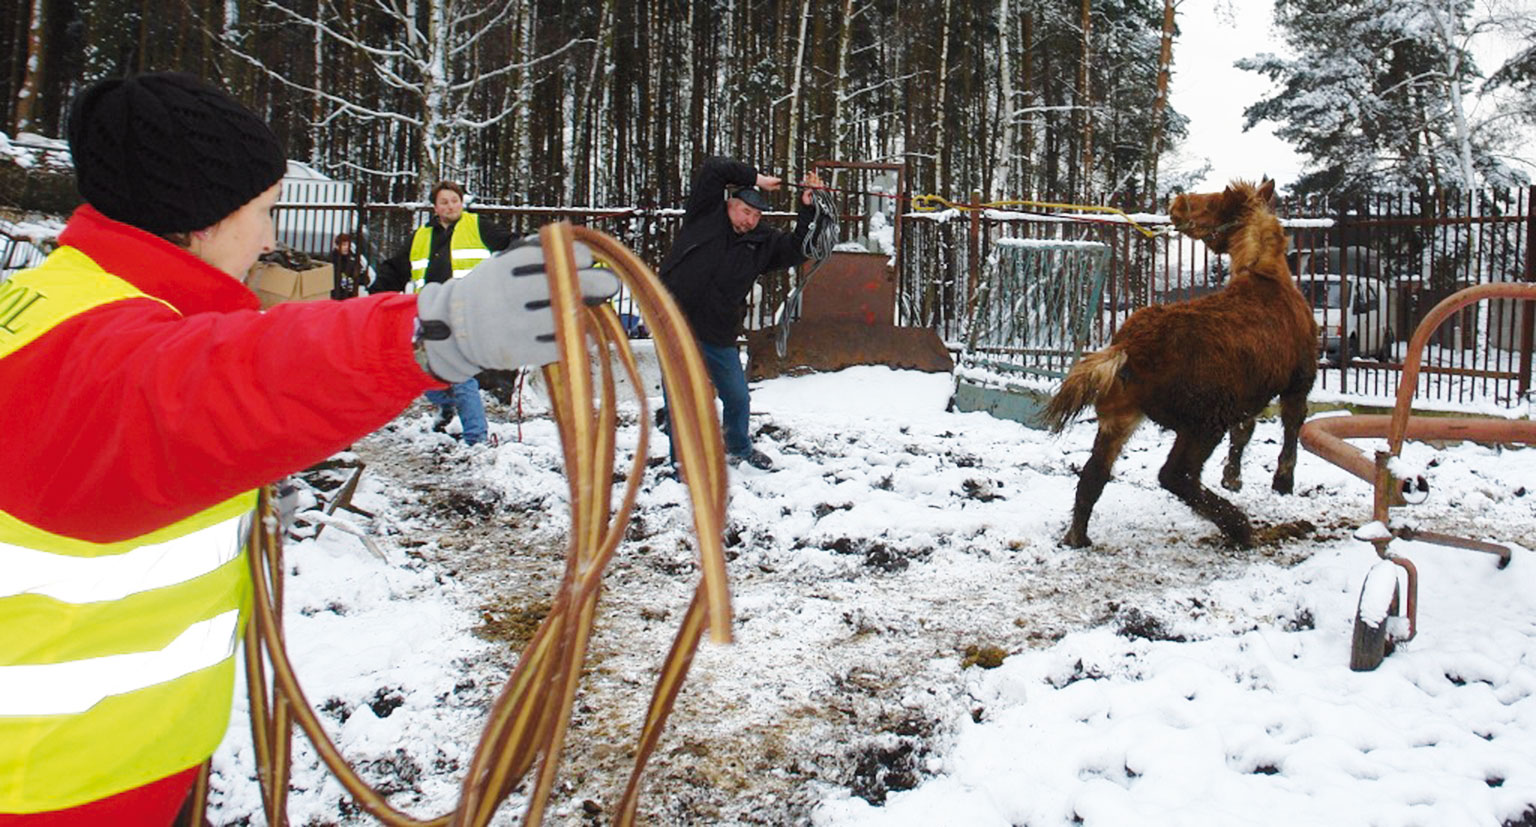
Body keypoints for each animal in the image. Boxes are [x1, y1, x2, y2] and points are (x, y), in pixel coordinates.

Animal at [1044, 176, 1320, 544]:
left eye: (1217, 200)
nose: (1177, 205)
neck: (1268, 276)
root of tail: (1128, 348)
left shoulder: (1250, 396)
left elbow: (1245, 431)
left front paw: (1233, 476)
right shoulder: (1299, 382)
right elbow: (1291, 426)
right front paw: (1282, 482)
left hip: (1120, 418)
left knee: (1093, 476)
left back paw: (1077, 537)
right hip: (1201, 425)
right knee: (1176, 476)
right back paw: (1239, 527)